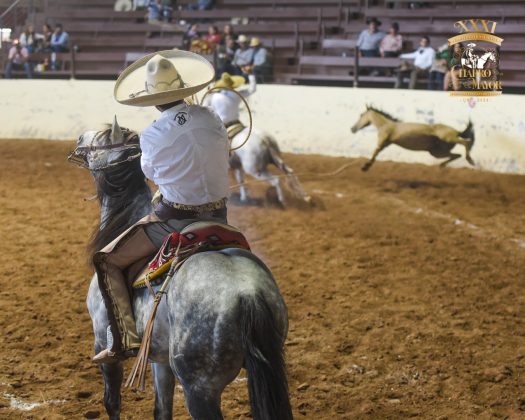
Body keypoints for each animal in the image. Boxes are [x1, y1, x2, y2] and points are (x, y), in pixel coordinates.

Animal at [68, 120, 292, 420]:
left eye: (102, 139)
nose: (80, 137)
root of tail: (248, 292)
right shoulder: (160, 360)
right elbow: (161, 409)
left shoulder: (103, 343)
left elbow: (111, 402)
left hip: (199, 388)